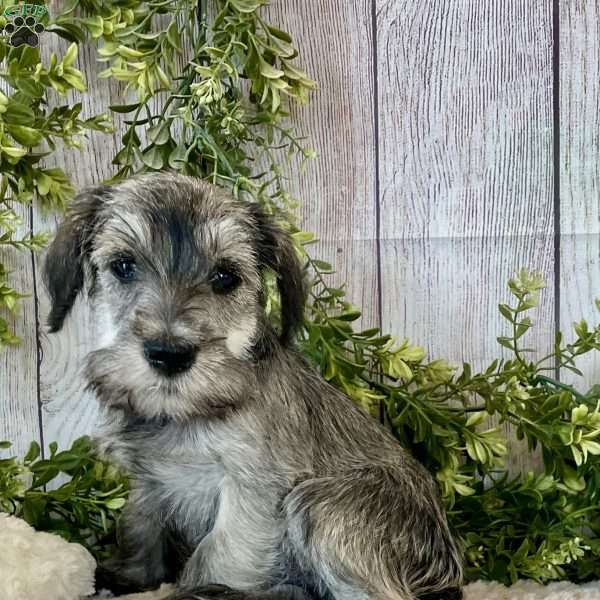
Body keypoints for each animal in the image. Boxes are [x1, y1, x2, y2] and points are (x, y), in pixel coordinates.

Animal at [43, 173, 464, 600]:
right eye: (123, 266)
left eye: (225, 277)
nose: (169, 355)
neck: (187, 414)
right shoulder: (149, 481)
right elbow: (140, 528)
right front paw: (127, 575)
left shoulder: (252, 489)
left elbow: (218, 554)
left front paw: (195, 588)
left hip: (322, 504)